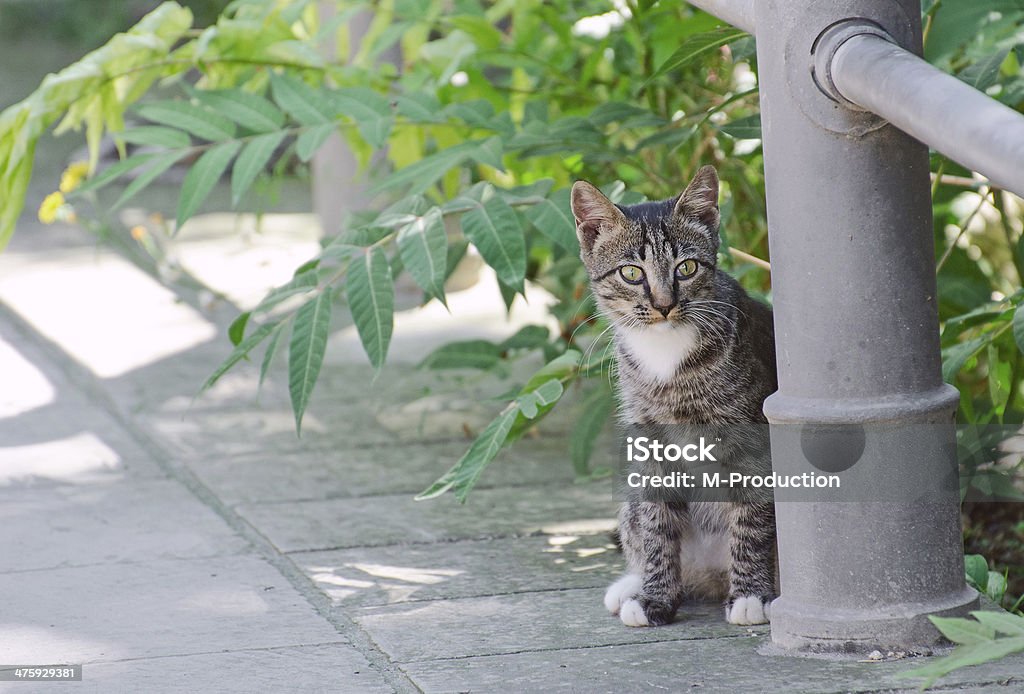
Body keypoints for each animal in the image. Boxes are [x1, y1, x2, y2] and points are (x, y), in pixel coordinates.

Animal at [569, 165, 774, 626]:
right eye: (631, 273)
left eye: (687, 267)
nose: (663, 304)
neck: (666, 353)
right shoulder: (649, 442)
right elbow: (657, 524)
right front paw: (656, 596)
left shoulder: (753, 441)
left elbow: (752, 515)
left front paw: (751, 594)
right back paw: (633, 584)